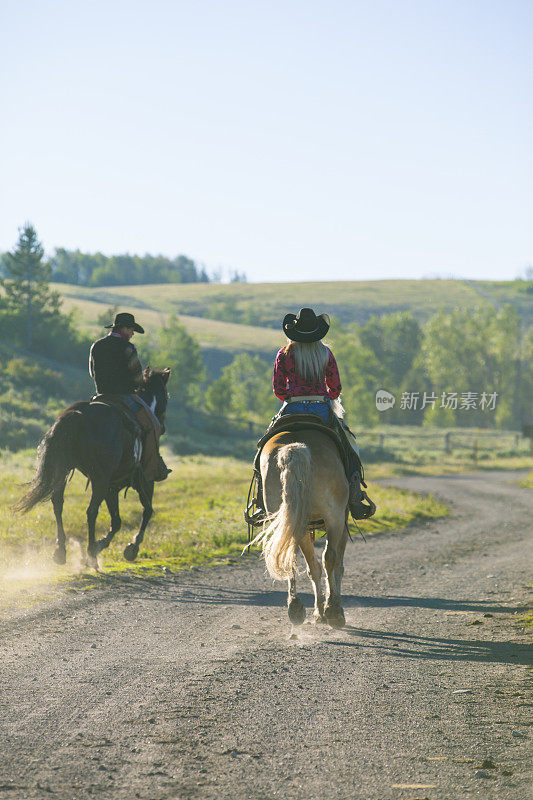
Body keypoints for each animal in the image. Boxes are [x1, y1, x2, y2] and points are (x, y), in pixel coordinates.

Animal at [15, 368, 170, 568]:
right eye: (166, 395)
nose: (163, 427)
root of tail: (77, 415)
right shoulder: (143, 481)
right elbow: (147, 511)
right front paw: (131, 548)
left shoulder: (112, 487)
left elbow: (117, 521)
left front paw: (101, 544)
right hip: (100, 480)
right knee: (91, 511)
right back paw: (90, 556)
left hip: (63, 471)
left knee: (58, 504)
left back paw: (61, 551)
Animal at [254, 428, 350, 628]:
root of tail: (293, 449)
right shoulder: (341, 522)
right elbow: (337, 565)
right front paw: (331, 606)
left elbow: (314, 567)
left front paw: (319, 611)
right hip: (334, 517)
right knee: (330, 558)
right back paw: (333, 611)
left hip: (292, 520)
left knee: (293, 558)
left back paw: (296, 607)